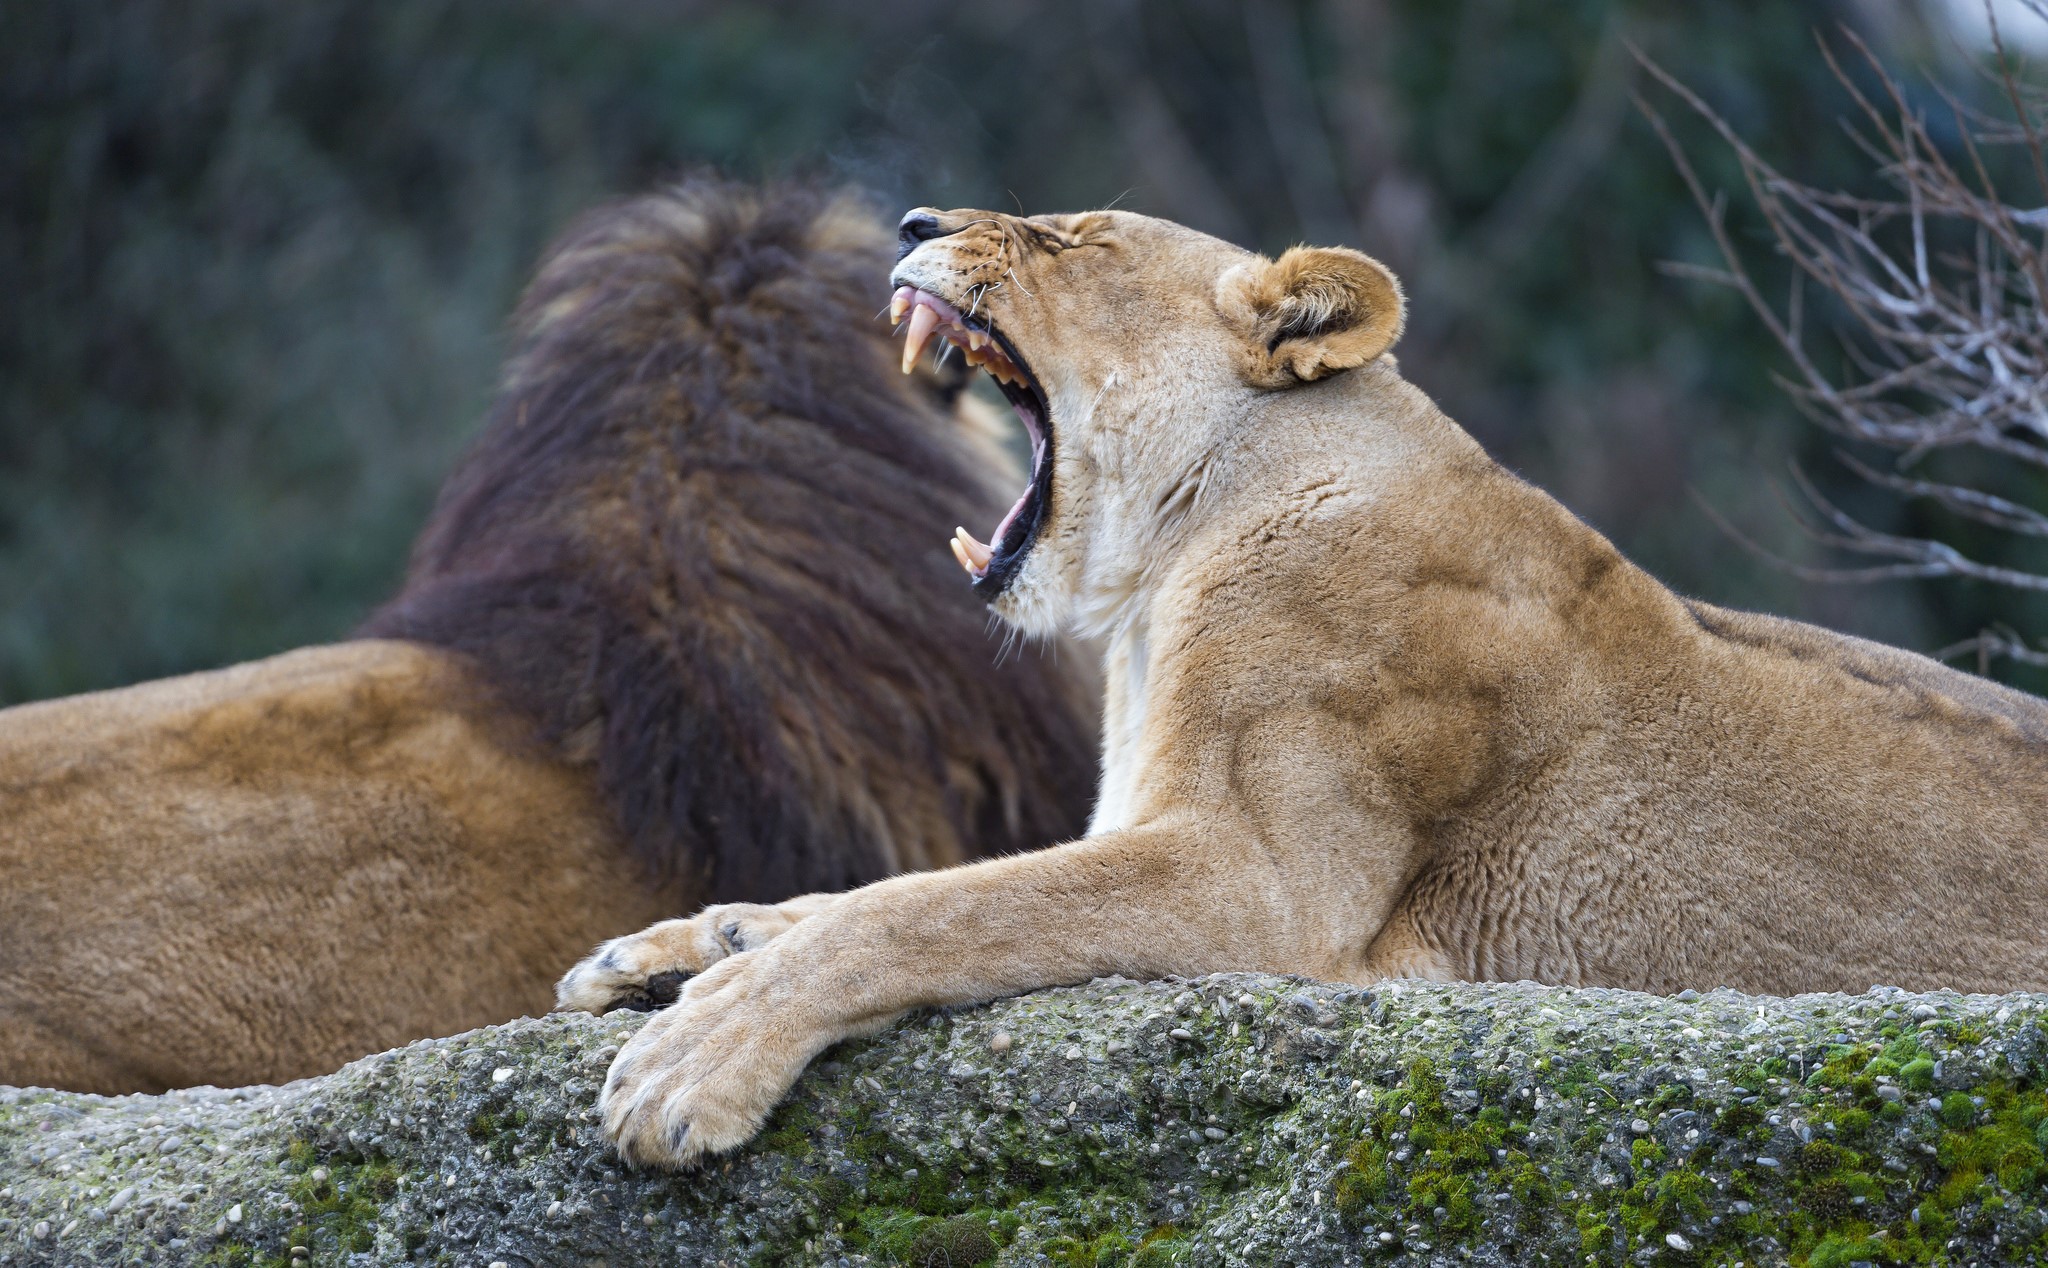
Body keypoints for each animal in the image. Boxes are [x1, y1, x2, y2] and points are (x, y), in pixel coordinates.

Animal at [562, 205, 2048, 1170]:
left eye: (1067, 239)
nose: (916, 210)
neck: (1165, 576)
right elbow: (883, 892)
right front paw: (671, 947)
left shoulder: (1267, 888)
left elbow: (940, 910)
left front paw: (694, 1060)